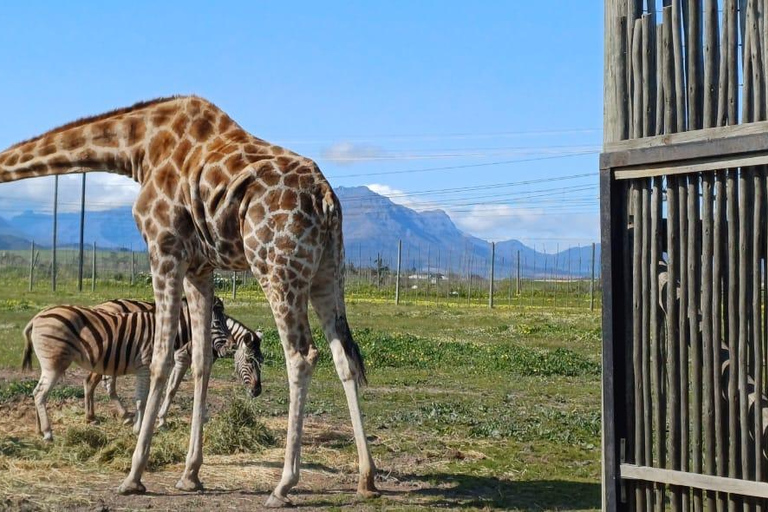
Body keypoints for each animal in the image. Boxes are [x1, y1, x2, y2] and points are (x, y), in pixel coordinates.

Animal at [21, 296, 231, 440]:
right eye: (216, 322)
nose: (230, 346)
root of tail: (37, 317)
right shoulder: (147, 364)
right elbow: (143, 399)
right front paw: (140, 428)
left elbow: (154, 395)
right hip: (55, 363)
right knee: (41, 393)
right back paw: (48, 432)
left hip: (54, 363)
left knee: (38, 392)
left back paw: (40, 429)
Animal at [89, 298, 262, 430]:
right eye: (249, 361)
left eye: (262, 362)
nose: (257, 392)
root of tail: (99, 306)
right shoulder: (182, 358)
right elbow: (172, 388)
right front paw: (162, 420)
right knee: (100, 381)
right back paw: (99, 416)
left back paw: (120, 415)